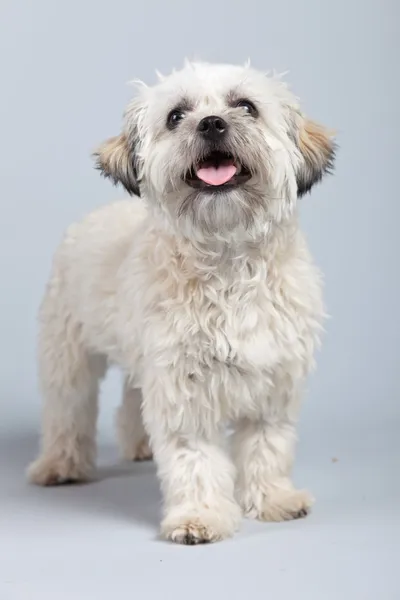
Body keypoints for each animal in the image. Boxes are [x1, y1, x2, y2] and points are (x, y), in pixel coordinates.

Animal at [27, 59, 334, 544]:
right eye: (176, 116)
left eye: (246, 106)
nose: (211, 123)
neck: (228, 264)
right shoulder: (183, 390)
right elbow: (196, 459)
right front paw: (200, 517)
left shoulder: (274, 383)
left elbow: (268, 445)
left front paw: (273, 499)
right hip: (67, 355)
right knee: (67, 409)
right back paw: (60, 464)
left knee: (130, 402)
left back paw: (138, 445)